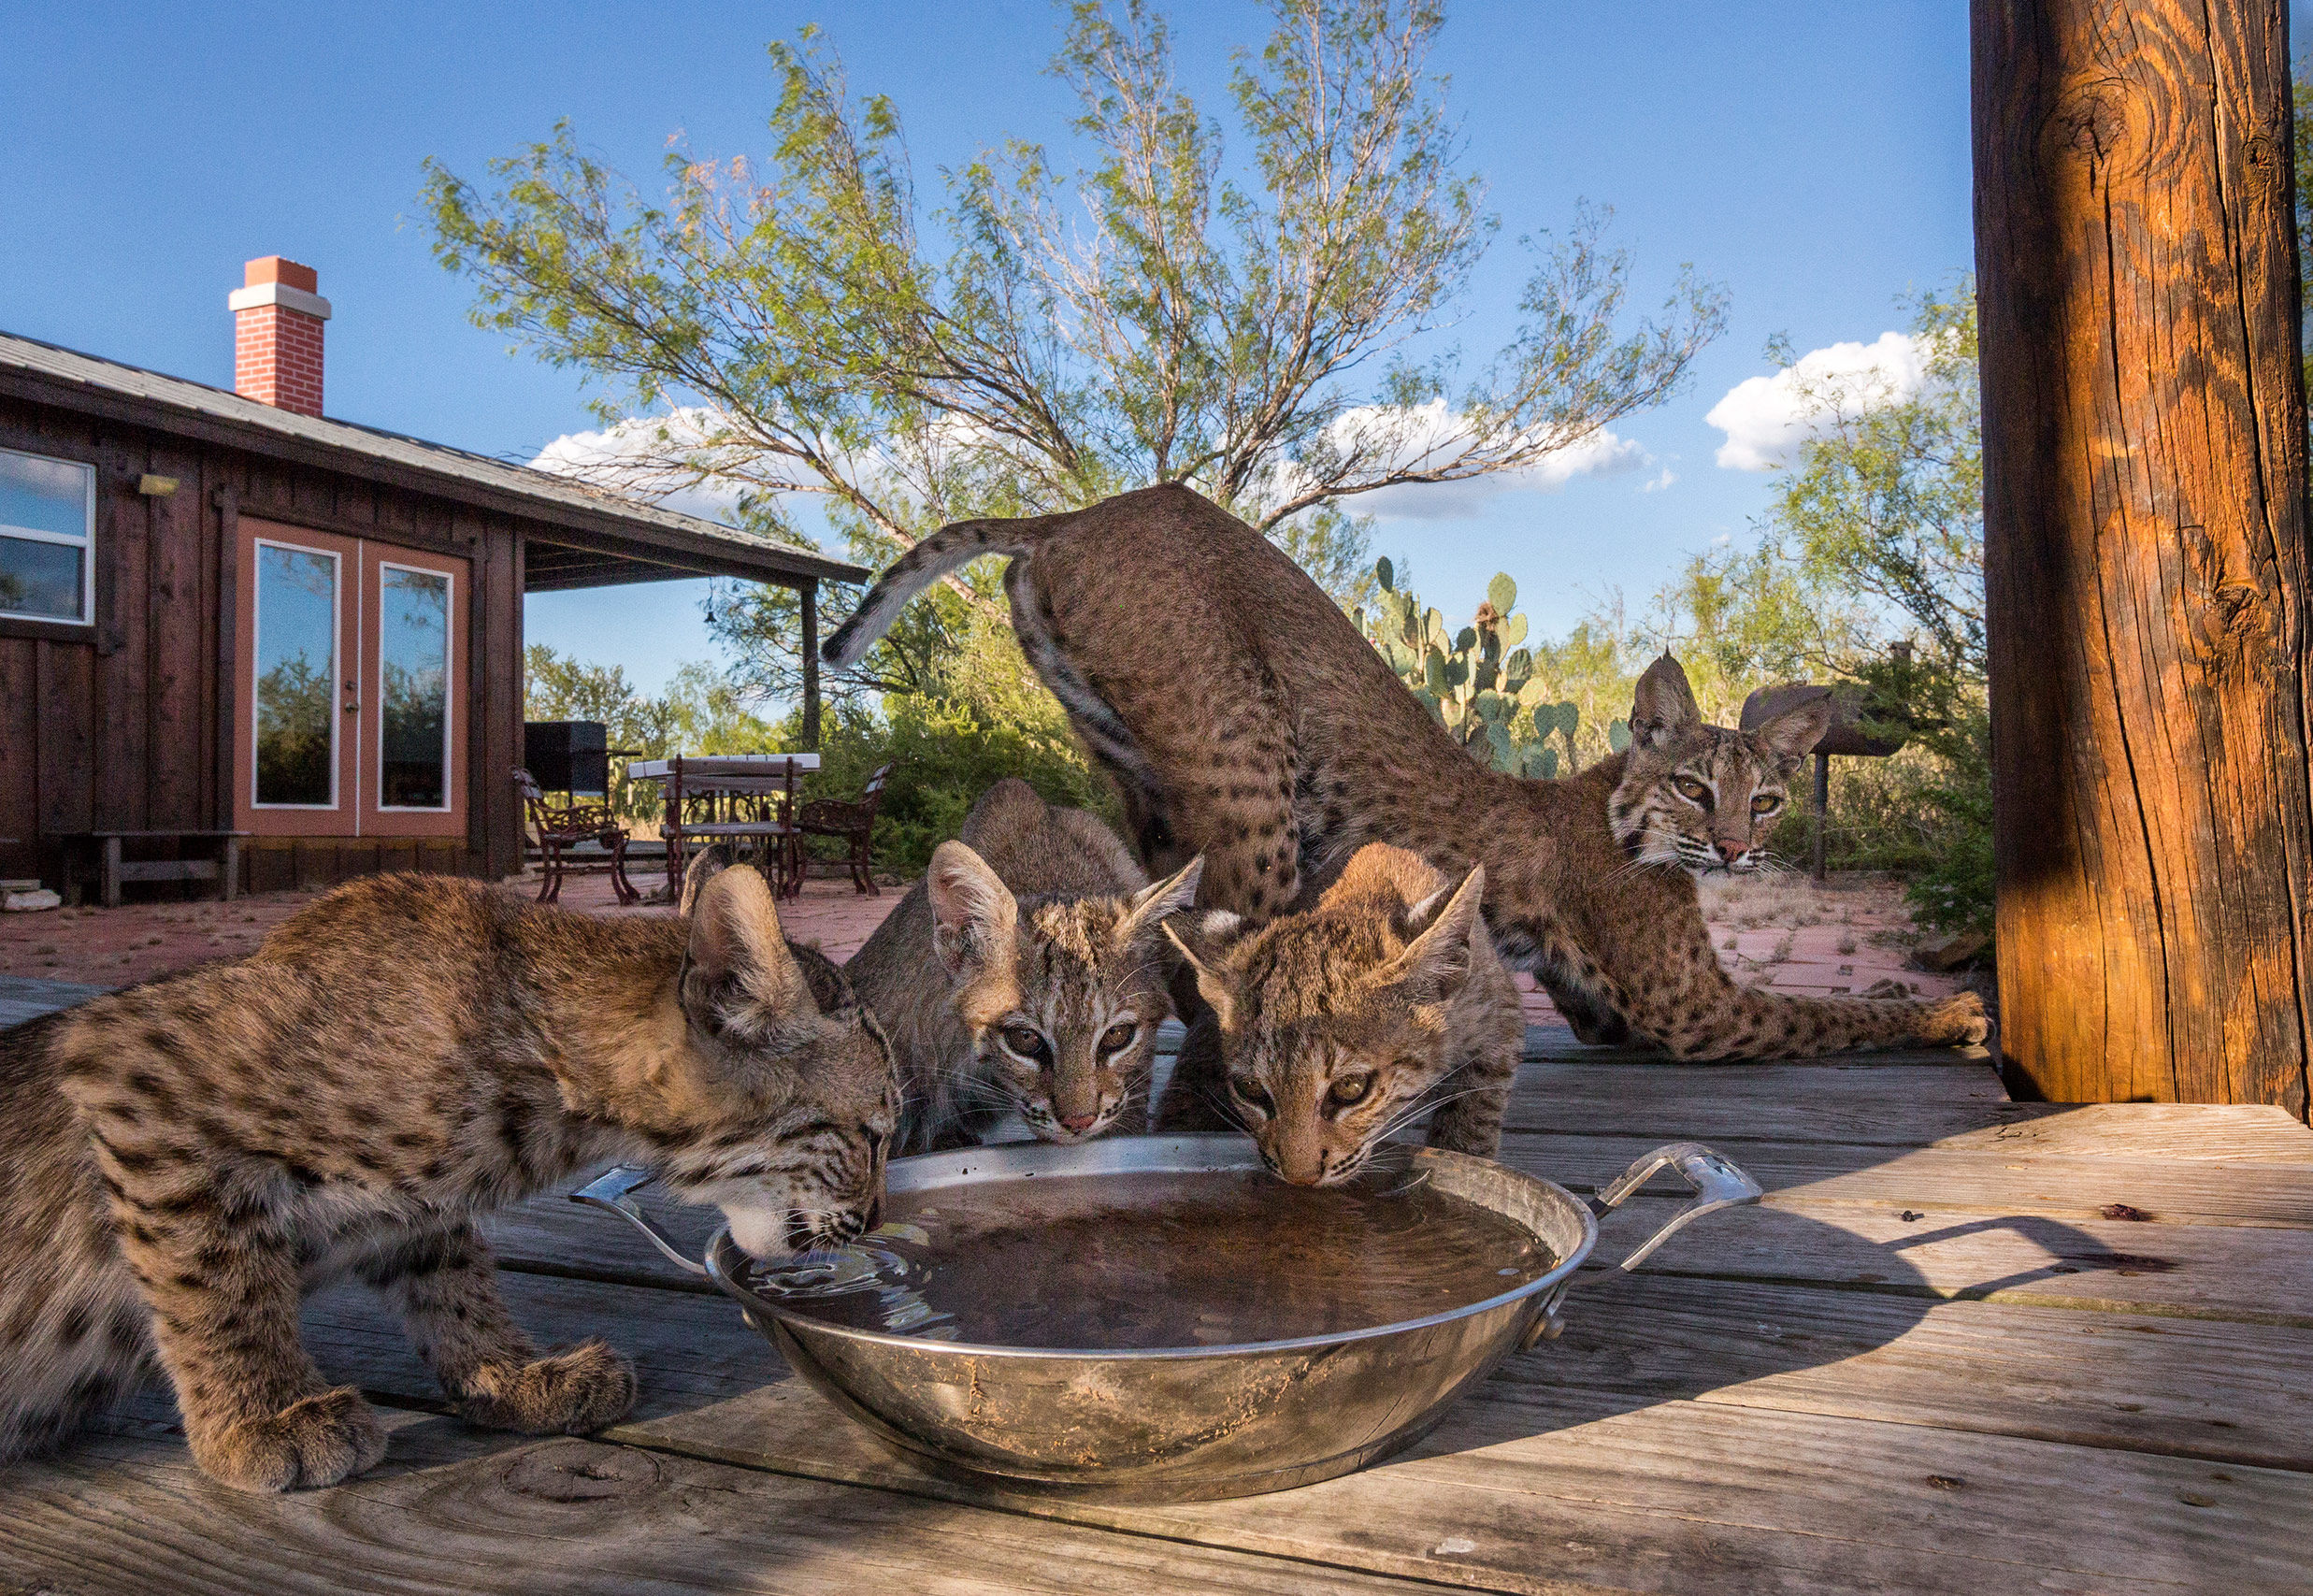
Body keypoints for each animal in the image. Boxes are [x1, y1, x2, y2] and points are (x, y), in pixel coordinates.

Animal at [0, 851, 892, 1489]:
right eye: (874, 1136)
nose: (877, 1222)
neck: (549, 1096)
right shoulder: (125, 1063)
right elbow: (217, 1276)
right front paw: (264, 1416)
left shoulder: (422, 1201)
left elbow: (451, 1272)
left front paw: (509, 1374)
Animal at [1156, 846, 1516, 1179]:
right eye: (1250, 1088)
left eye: (1351, 1088)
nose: (1300, 1179)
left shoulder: (1500, 1015)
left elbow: (1476, 1111)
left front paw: (1464, 1153)